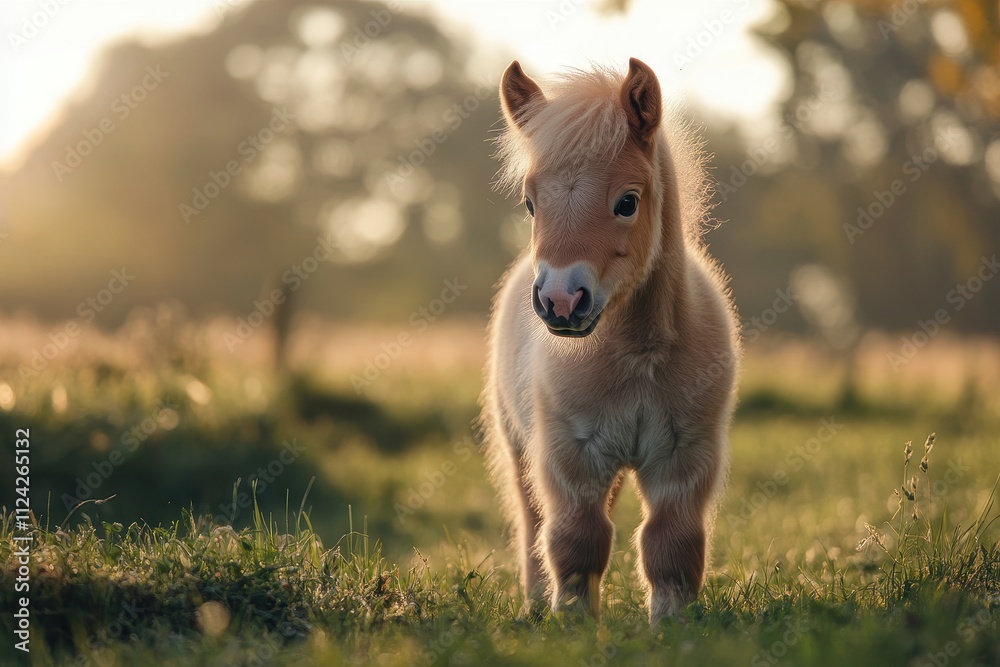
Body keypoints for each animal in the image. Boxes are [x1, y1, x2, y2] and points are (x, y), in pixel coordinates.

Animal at [481, 58, 740, 625]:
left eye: (627, 202)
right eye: (529, 203)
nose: (560, 301)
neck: (637, 355)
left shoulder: (685, 458)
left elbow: (671, 546)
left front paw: (671, 627)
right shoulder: (570, 457)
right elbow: (575, 542)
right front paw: (573, 623)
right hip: (519, 447)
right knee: (532, 525)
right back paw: (536, 606)